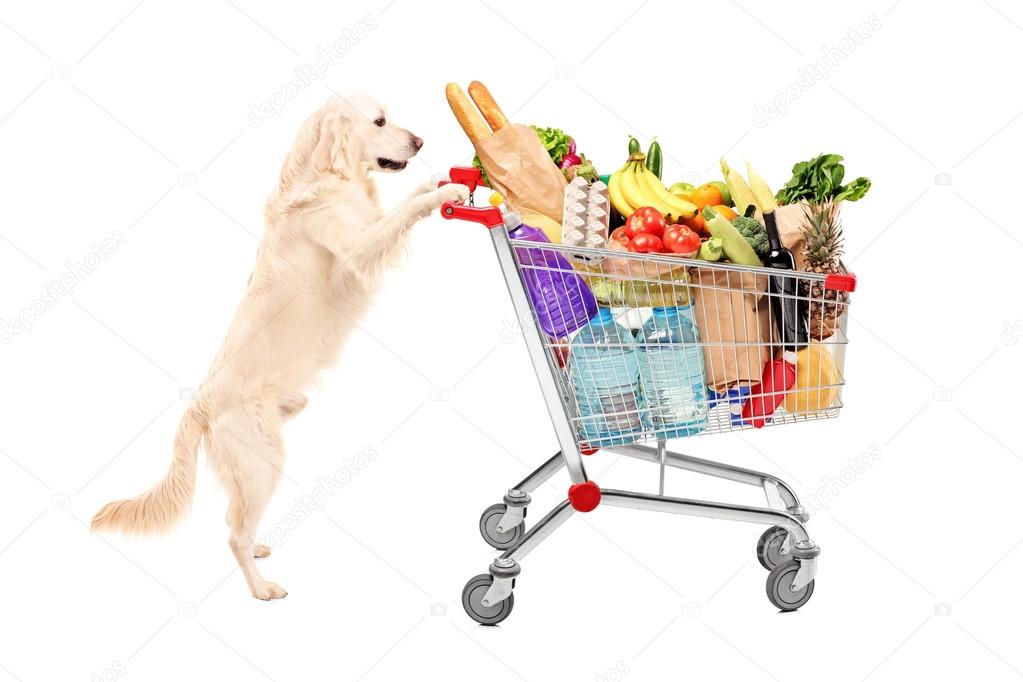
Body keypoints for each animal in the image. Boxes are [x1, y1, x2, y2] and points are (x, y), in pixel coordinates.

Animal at [92, 94, 468, 597]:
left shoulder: (369, 223)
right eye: (380, 121)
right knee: (232, 532)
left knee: (238, 524)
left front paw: (439, 181)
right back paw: (262, 589)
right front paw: (443, 195)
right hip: (262, 464)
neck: (328, 176)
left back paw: (257, 550)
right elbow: (404, 214)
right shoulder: (359, 246)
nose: (421, 141)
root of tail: (197, 407)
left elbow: (403, 202)